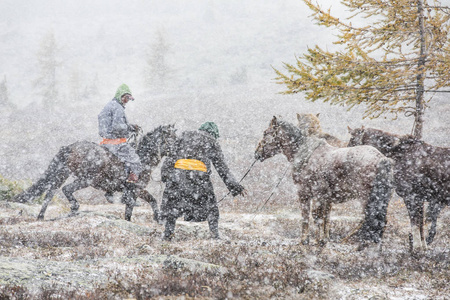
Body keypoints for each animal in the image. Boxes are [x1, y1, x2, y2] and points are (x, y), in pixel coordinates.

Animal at [12, 125, 178, 221]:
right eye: (173, 138)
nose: (178, 152)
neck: (143, 159)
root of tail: (71, 147)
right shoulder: (136, 189)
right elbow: (150, 201)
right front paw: (158, 218)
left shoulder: (134, 192)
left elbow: (131, 210)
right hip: (87, 179)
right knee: (67, 189)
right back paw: (74, 208)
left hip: (62, 173)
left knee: (50, 193)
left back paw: (41, 216)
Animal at [253, 116, 394, 247]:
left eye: (266, 133)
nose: (257, 153)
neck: (307, 155)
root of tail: (381, 159)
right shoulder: (325, 198)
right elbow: (325, 217)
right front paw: (323, 240)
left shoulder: (306, 194)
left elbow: (310, 216)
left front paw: (307, 240)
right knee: (380, 221)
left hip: (365, 198)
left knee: (370, 219)